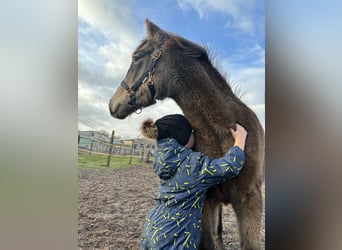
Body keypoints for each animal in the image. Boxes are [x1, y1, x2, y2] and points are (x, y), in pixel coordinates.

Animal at [109, 20, 264, 250]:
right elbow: (209, 241)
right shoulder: (207, 200)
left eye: (136, 57)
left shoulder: (250, 200)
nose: (112, 104)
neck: (225, 133)